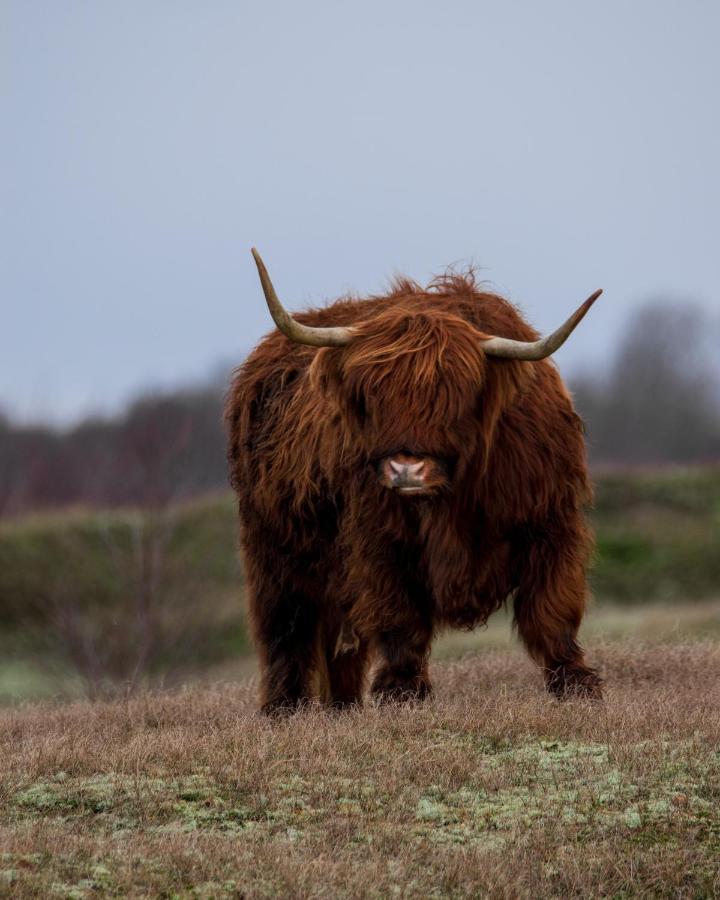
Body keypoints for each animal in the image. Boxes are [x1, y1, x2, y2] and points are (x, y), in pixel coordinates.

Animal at [225, 250, 600, 712]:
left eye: (455, 395)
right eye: (372, 395)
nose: (406, 470)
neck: (453, 499)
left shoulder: (551, 523)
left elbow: (553, 611)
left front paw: (577, 685)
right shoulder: (378, 541)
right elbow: (397, 616)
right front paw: (401, 692)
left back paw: (342, 707)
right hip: (272, 548)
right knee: (286, 625)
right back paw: (286, 707)